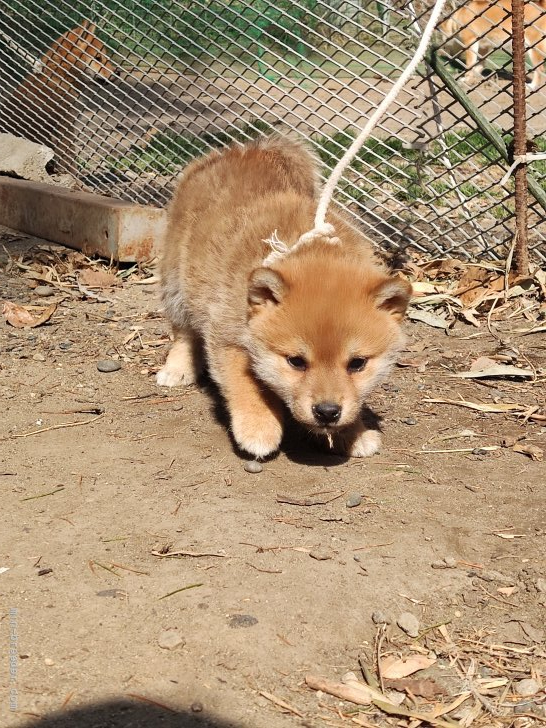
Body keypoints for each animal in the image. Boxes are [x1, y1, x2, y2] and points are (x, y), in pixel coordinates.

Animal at [156, 134, 408, 458]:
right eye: (296, 361)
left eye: (357, 364)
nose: (327, 412)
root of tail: (248, 150)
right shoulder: (228, 339)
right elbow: (248, 387)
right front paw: (258, 428)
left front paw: (353, 433)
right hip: (176, 279)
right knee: (183, 332)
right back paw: (176, 369)